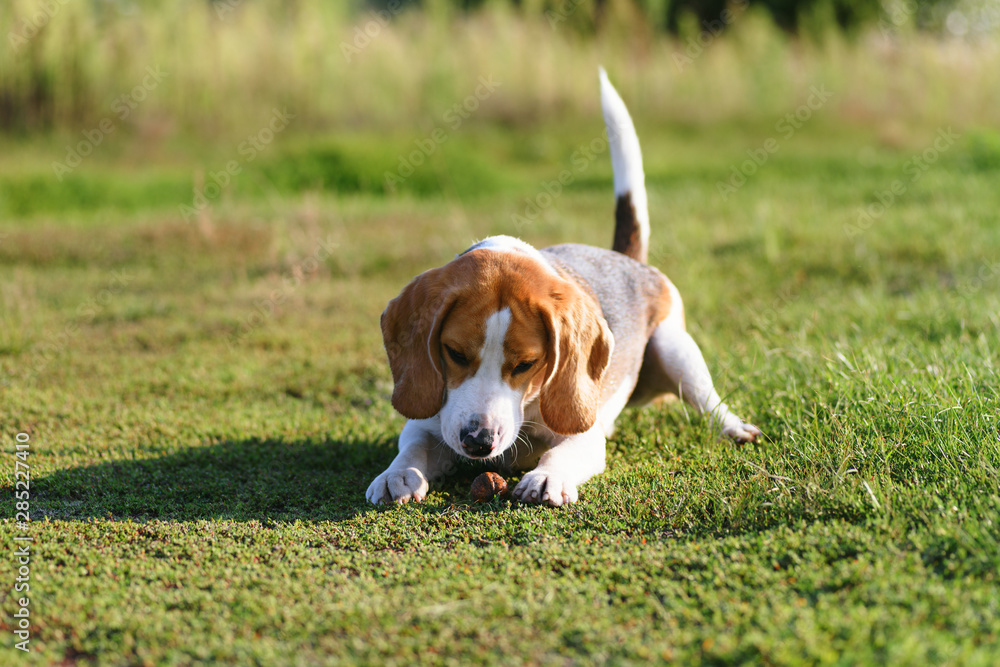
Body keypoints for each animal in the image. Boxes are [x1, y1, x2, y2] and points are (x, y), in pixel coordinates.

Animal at [368, 69, 756, 506]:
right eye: (454, 353)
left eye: (526, 364)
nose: (478, 442)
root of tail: (626, 257)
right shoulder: (428, 423)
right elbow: (414, 444)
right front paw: (397, 474)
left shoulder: (585, 437)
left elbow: (563, 451)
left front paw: (547, 476)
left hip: (674, 348)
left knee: (708, 400)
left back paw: (735, 427)